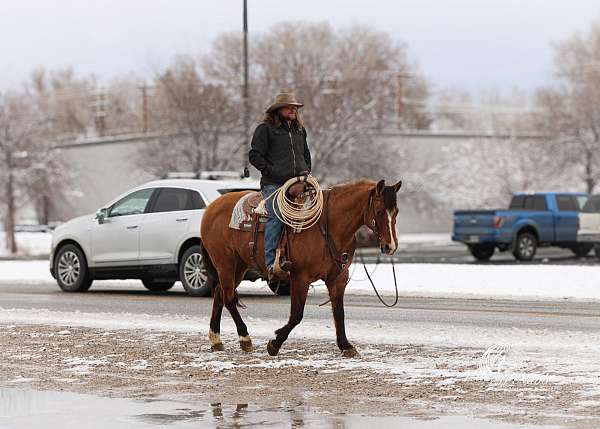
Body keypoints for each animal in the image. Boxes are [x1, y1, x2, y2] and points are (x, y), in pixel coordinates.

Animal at [199, 179, 400, 356]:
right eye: (379, 211)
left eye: (396, 211)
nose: (390, 246)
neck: (329, 227)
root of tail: (212, 207)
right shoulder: (300, 277)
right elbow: (296, 315)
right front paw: (275, 343)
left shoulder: (338, 278)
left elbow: (339, 313)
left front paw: (345, 345)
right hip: (225, 262)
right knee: (229, 297)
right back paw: (245, 338)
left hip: (239, 265)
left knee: (219, 293)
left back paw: (216, 340)